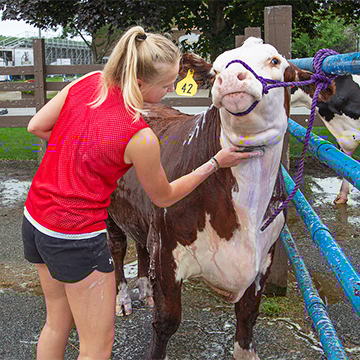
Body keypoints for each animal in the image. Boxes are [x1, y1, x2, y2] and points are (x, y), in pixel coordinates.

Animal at [106, 37, 334, 360]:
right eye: (216, 70)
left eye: (275, 61)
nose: (229, 79)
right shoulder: (165, 251)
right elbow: (166, 322)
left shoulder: (265, 256)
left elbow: (248, 318)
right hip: (110, 210)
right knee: (117, 247)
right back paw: (123, 298)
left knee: (139, 242)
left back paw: (145, 290)